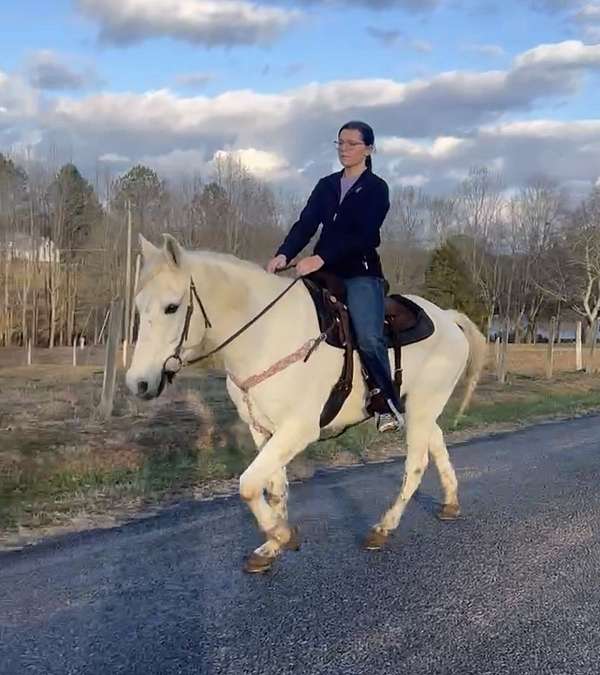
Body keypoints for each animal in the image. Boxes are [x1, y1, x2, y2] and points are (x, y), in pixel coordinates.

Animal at [126, 235, 488, 572]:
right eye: (139, 306)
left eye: (172, 307)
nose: (137, 383)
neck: (266, 335)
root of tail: (447, 318)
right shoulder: (262, 429)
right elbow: (273, 487)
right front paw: (271, 547)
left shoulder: (298, 430)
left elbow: (248, 485)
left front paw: (282, 535)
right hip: (419, 407)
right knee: (437, 444)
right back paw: (450, 502)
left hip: (424, 405)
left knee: (415, 464)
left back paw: (383, 528)